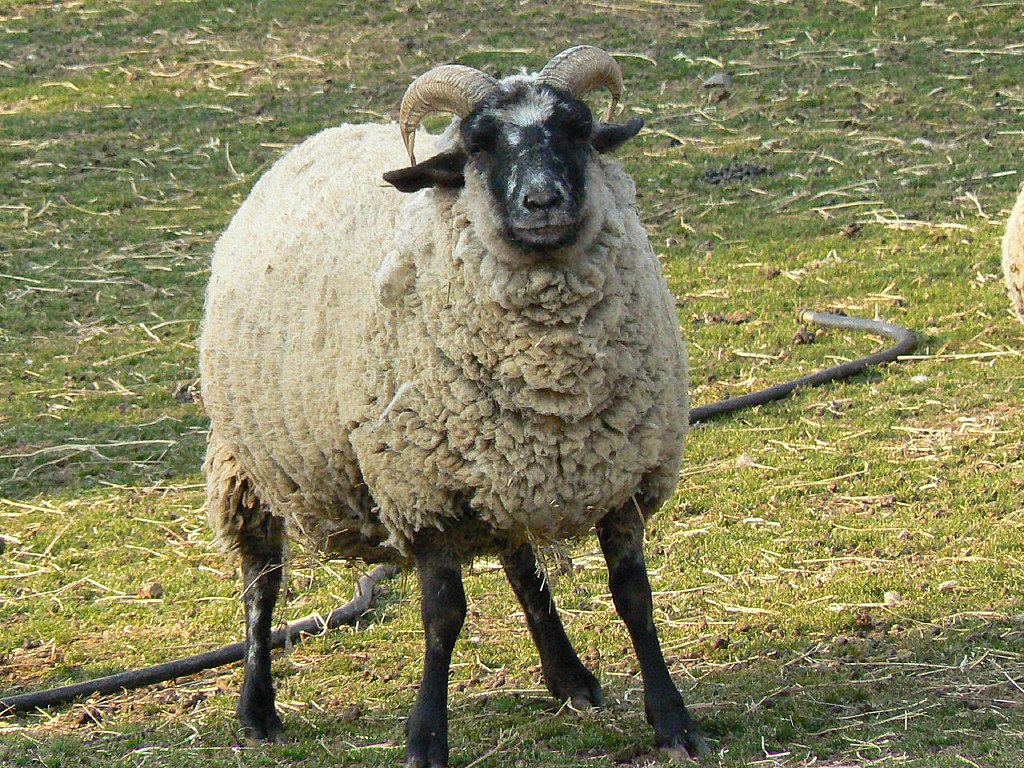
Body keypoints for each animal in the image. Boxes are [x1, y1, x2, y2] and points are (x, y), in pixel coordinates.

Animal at [198, 45, 704, 765]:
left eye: (578, 128)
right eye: (478, 144)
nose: (543, 200)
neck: (552, 374)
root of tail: (321, 135)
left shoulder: (625, 478)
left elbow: (634, 597)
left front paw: (673, 721)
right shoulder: (423, 487)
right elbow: (444, 618)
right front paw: (425, 738)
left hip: (494, 465)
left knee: (521, 563)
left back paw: (568, 676)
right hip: (248, 459)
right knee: (260, 579)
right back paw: (257, 709)